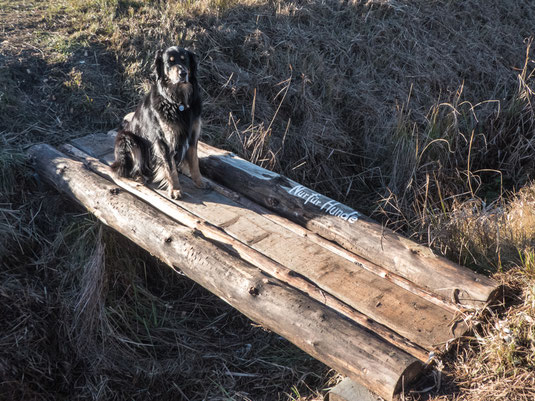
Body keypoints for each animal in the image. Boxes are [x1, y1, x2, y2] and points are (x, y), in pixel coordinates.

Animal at [111, 46, 205, 199]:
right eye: (170, 62)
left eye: (185, 60)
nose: (183, 73)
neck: (178, 102)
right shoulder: (164, 140)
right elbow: (170, 166)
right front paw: (175, 189)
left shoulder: (192, 135)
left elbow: (194, 160)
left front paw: (199, 181)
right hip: (127, 138)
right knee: (124, 169)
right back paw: (139, 176)